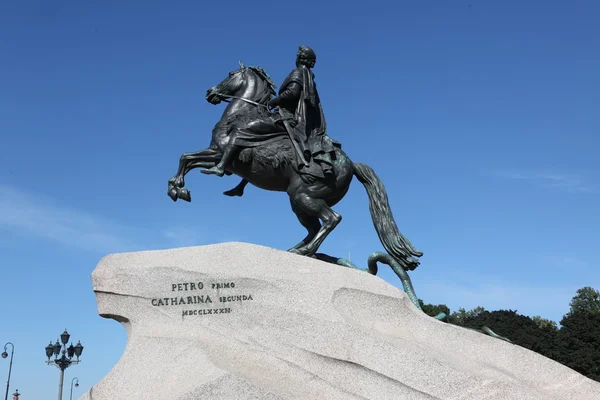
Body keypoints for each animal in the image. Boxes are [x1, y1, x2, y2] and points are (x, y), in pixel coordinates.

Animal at [166, 64, 424, 270]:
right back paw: (296, 249)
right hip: (297, 201)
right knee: (313, 228)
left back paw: (304, 251)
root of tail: (350, 164)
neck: (242, 114)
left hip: (304, 196)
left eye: (230, 74)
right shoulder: (218, 157)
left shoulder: (221, 153)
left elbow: (188, 158)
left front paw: (178, 188)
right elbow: (187, 158)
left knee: (331, 219)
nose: (210, 92)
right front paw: (176, 188)